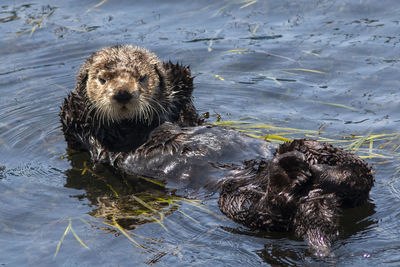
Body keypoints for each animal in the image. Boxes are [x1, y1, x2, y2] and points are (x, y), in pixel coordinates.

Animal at [59, 45, 376, 258]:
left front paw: (172, 71)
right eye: (102, 79)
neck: (138, 127)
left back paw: (306, 157)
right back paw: (288, 173)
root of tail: (318, 200)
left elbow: (187, 106)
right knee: (271, 209)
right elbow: (73, 121)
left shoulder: (185, 116)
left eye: (142, 78)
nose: (123, 93)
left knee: (358, 176)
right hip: (236, 199)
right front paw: (81, 98)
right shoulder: (86, 140)